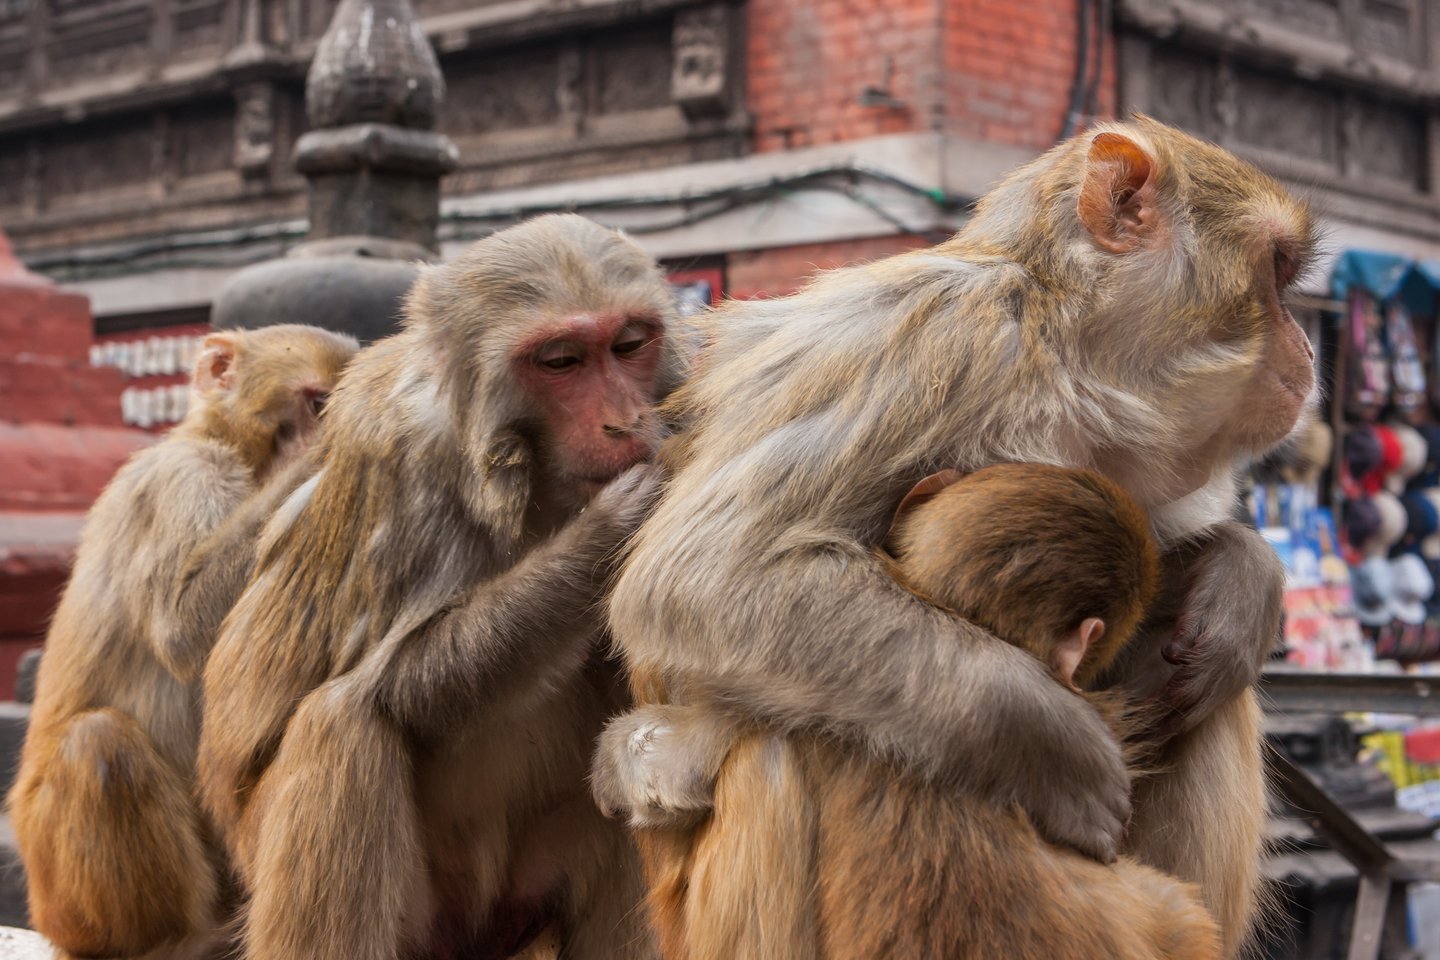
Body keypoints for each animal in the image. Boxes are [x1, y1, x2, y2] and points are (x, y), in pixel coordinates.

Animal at [13, 325, 360, 960]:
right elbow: (180, 625)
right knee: (99, 745)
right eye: (318, 404)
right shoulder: (183, 476)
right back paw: (174, 941)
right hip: (56, 892)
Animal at [195, 215, 679, 960]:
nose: (624, 420)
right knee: (345, 724)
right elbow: (401, 684)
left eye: (629, 345)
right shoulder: (403, 461)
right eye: (561, 362)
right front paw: (612, 528)